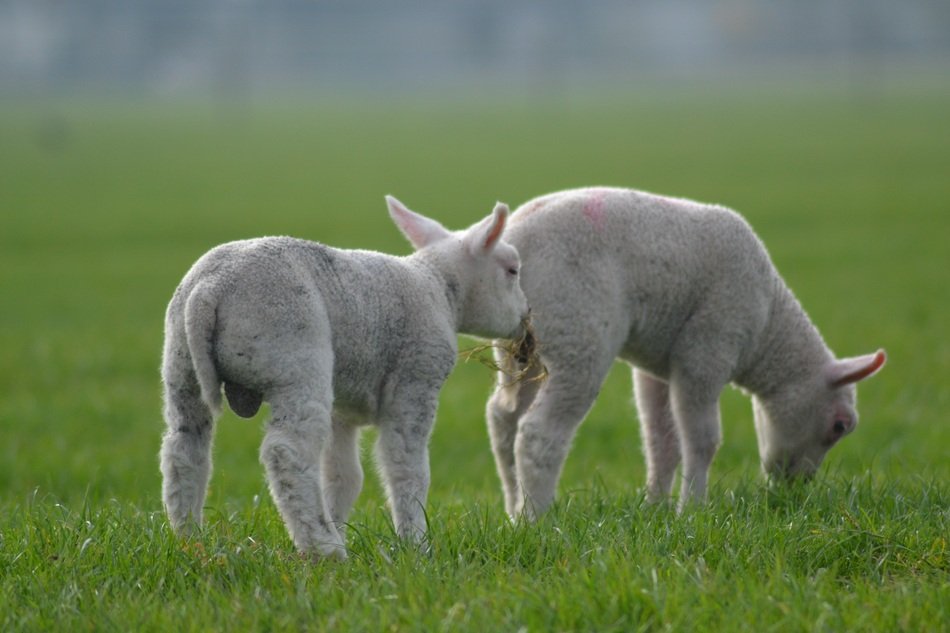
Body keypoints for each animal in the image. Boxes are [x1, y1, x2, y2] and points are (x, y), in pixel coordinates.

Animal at [157, 195, 528, 556]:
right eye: (513, 270)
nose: (527, 315)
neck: (438, 286)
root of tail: (211, 287)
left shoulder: (344, 409)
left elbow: (343, 475)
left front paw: (340, 521)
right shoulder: (416, 380)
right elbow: (407, 468)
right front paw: (415, 544)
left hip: (180, 364)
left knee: (184, 448)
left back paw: (190, 537)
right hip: (295, 360)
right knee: (287, 452)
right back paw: (324, 547)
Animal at [488, 185, 888, 516]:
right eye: (839, 426)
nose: (797, 488)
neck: (768, 329)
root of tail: (513, 239)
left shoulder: (657, 366)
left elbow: (661, 442)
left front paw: (655, 508)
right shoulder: (708, 346)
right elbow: (703, 440)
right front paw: (692, 509)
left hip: (518, 349)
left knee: (502, 420)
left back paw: (513, 511)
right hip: (576, 331)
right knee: (538, 433)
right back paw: (537, 518)